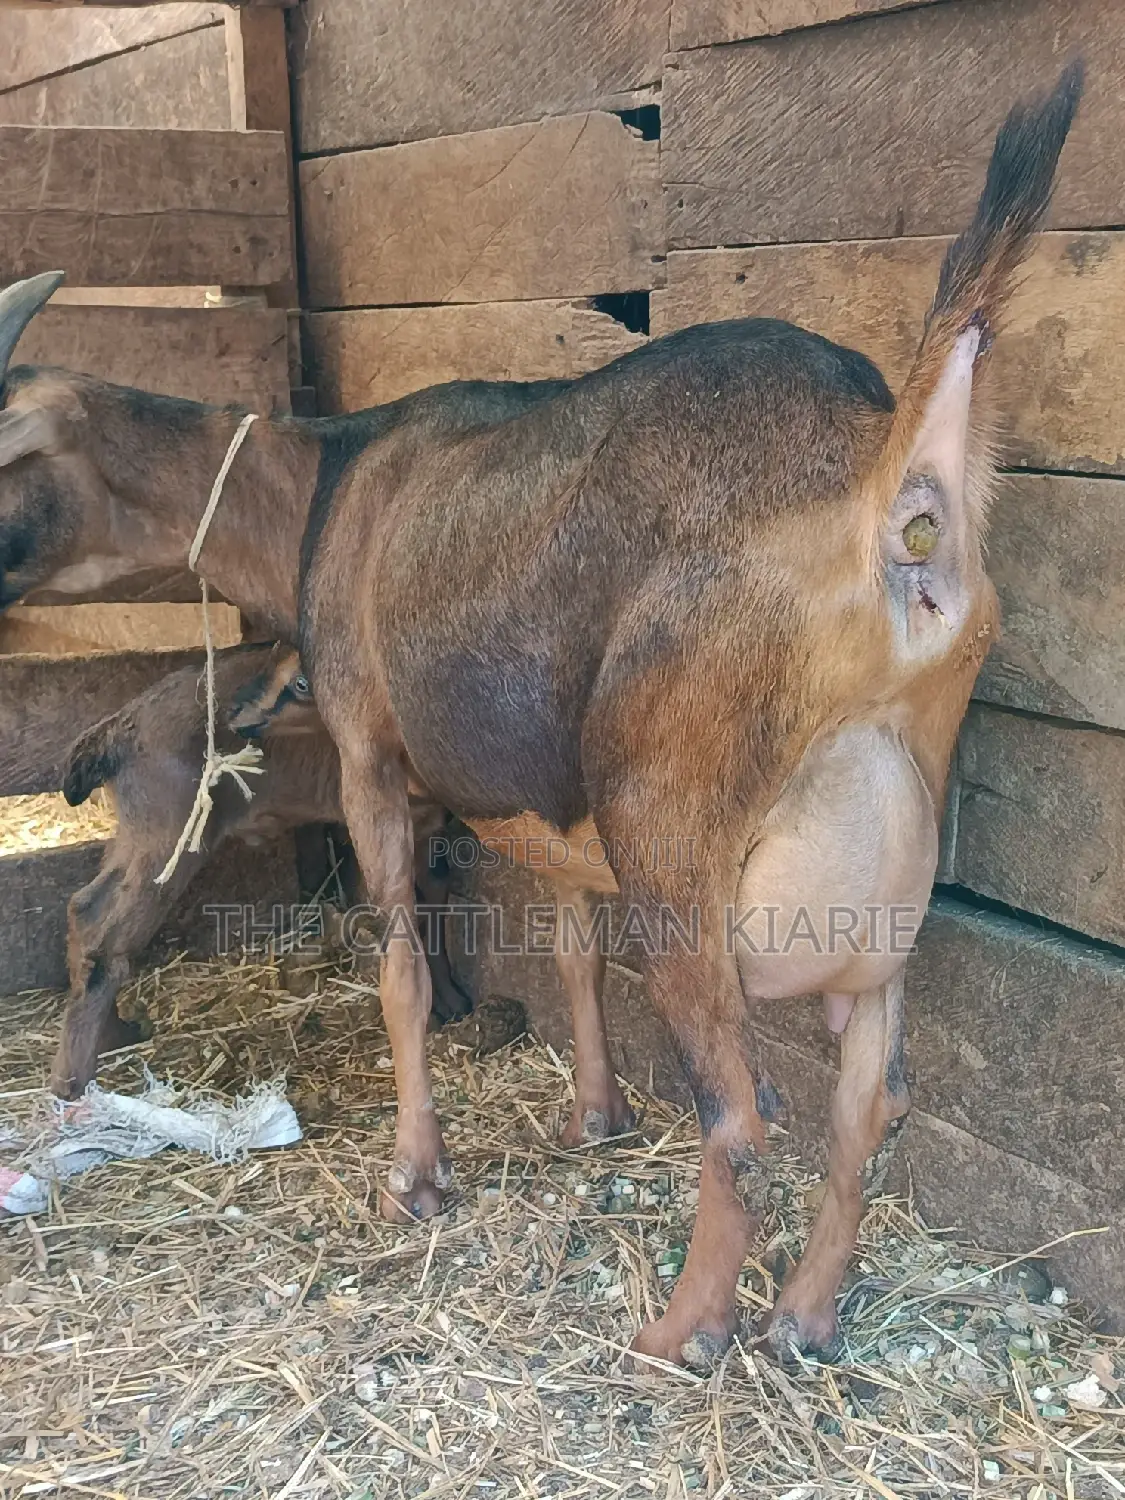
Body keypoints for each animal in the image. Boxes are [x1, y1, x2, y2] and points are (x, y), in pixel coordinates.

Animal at [51, 643, 468, 1100]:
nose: (236, 712)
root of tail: (120, 728)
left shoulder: (429, 827)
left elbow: (435, 900)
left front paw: (451, 1001)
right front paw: (432, 1013)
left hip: (139, 830)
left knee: (84, 907)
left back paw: (115, 1033)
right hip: (170, 834)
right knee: (103, 930)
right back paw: (72, 1082)